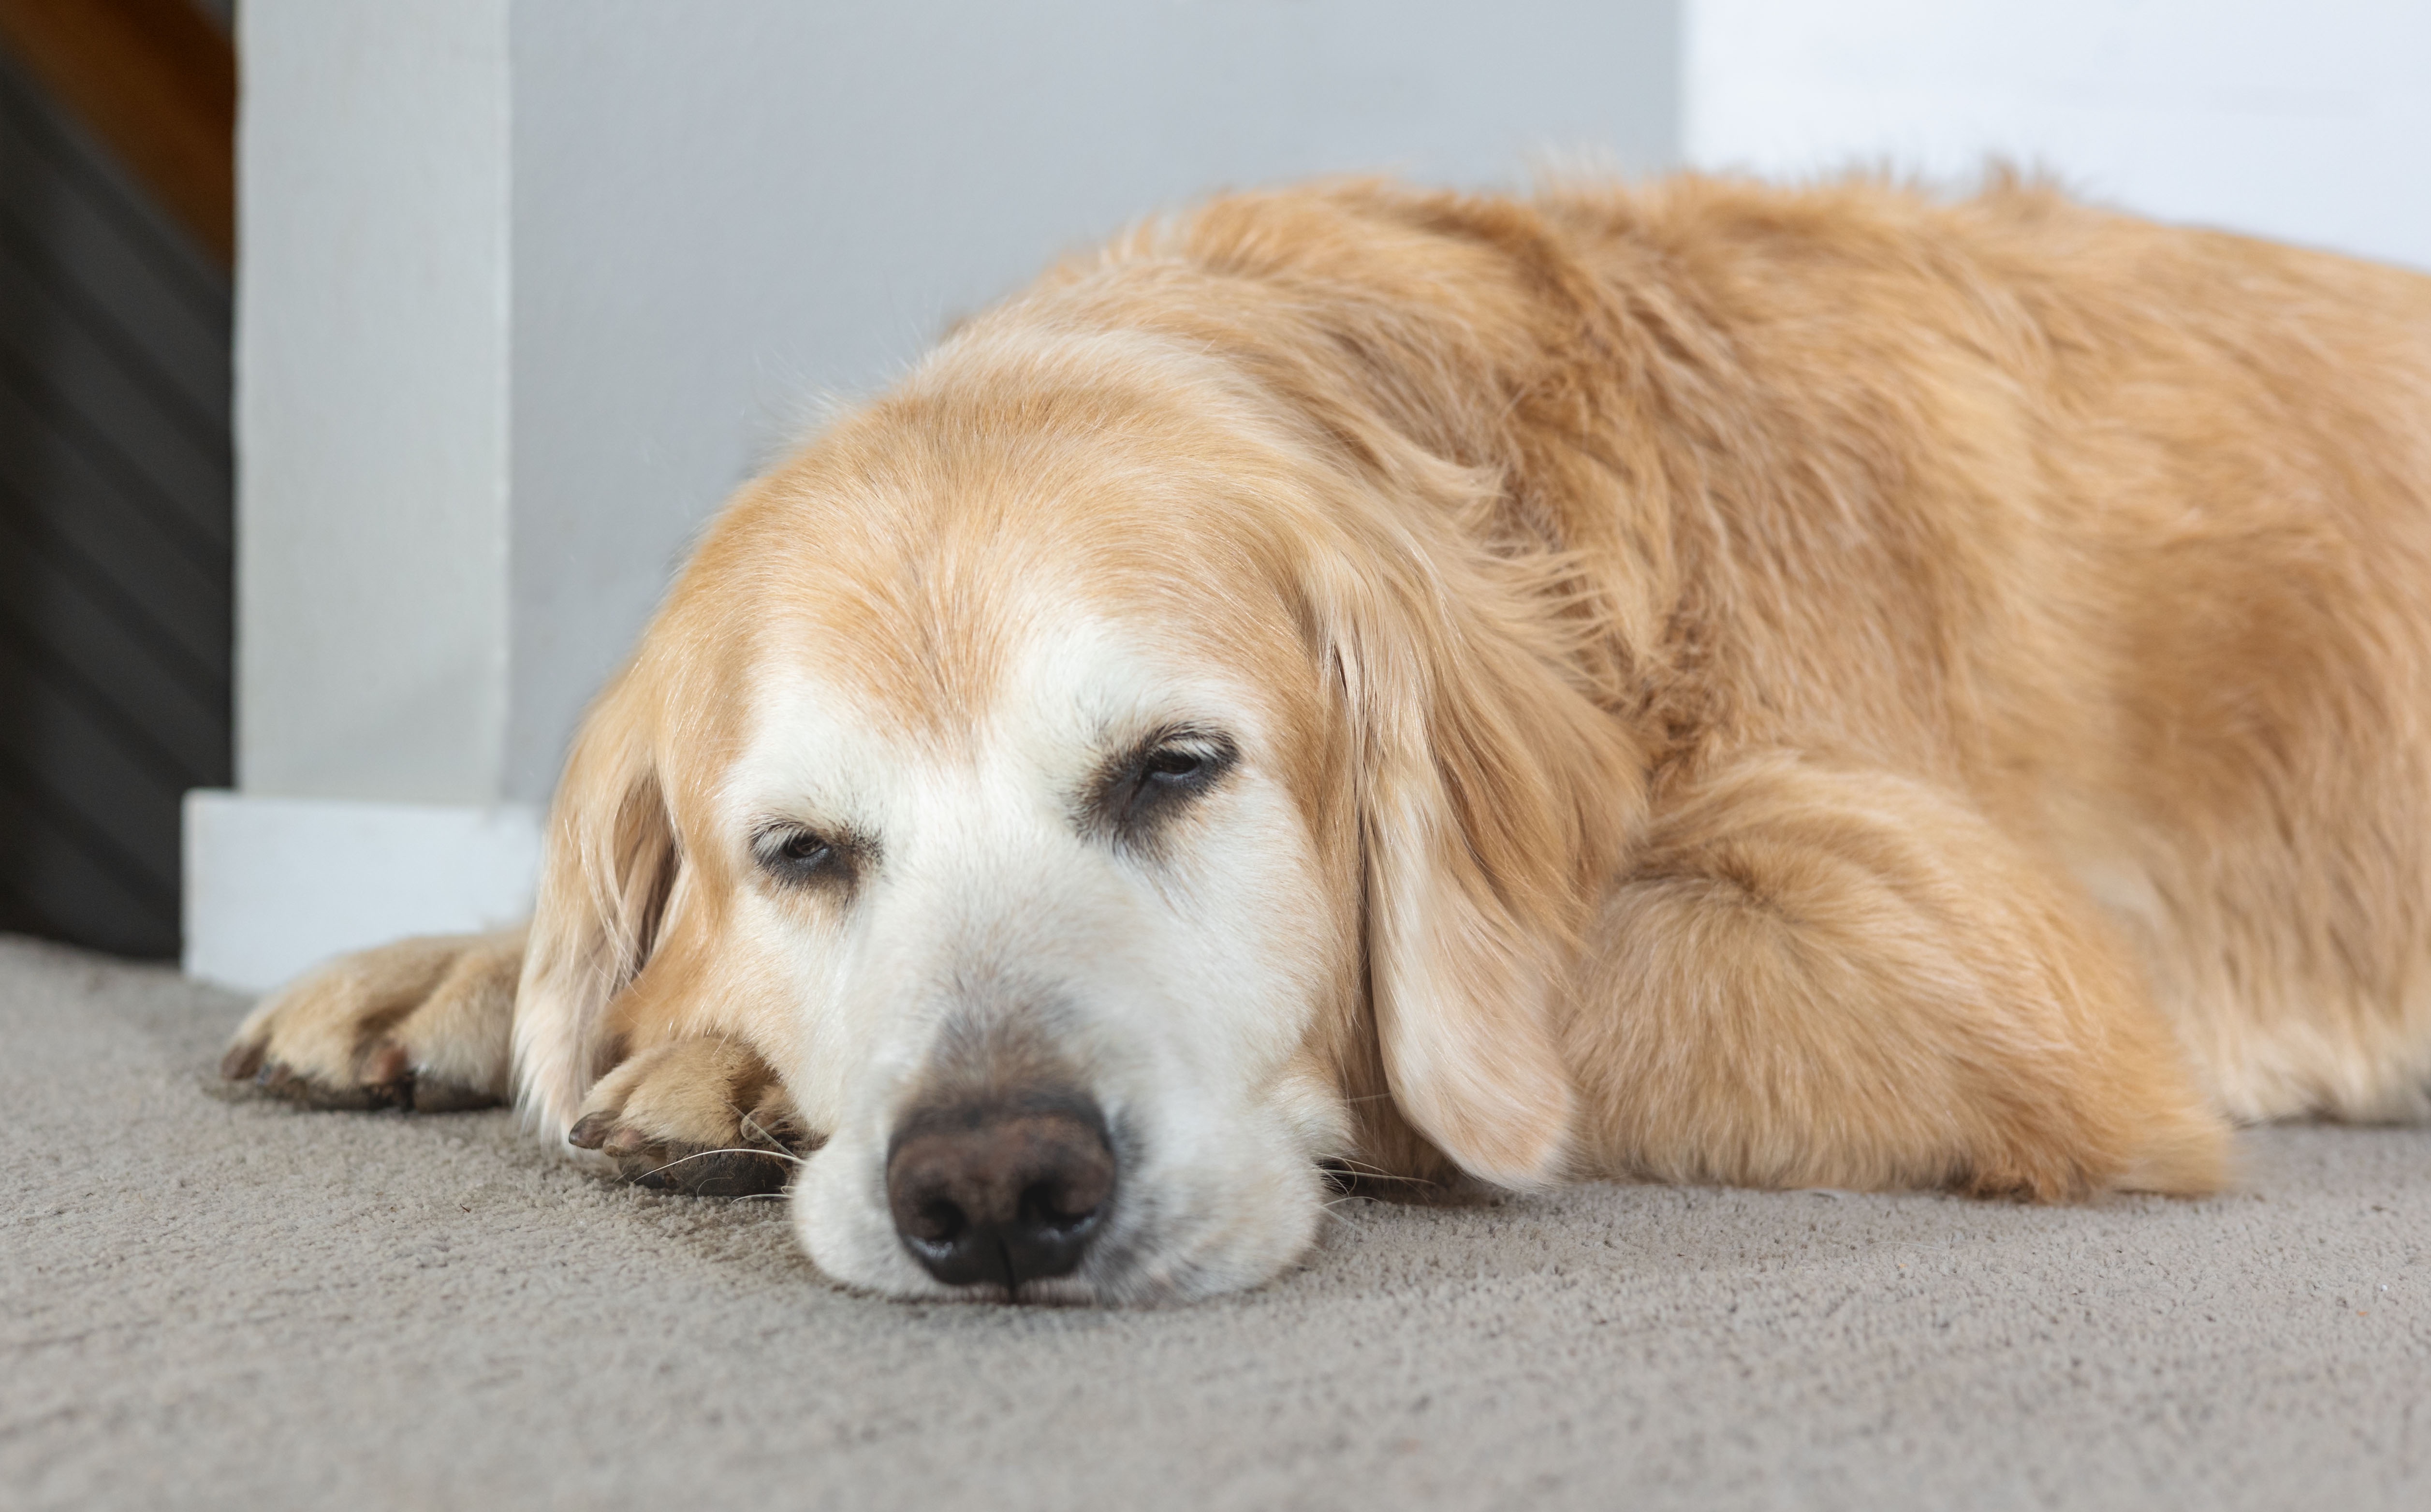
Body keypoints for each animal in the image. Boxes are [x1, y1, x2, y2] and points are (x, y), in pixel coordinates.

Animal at [219, 175, 2431, 1303]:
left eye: (1175, 768)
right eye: (802, 853)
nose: (994, 1188)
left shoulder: (1997, 986)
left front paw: (710, 1064)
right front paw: (468, 970)